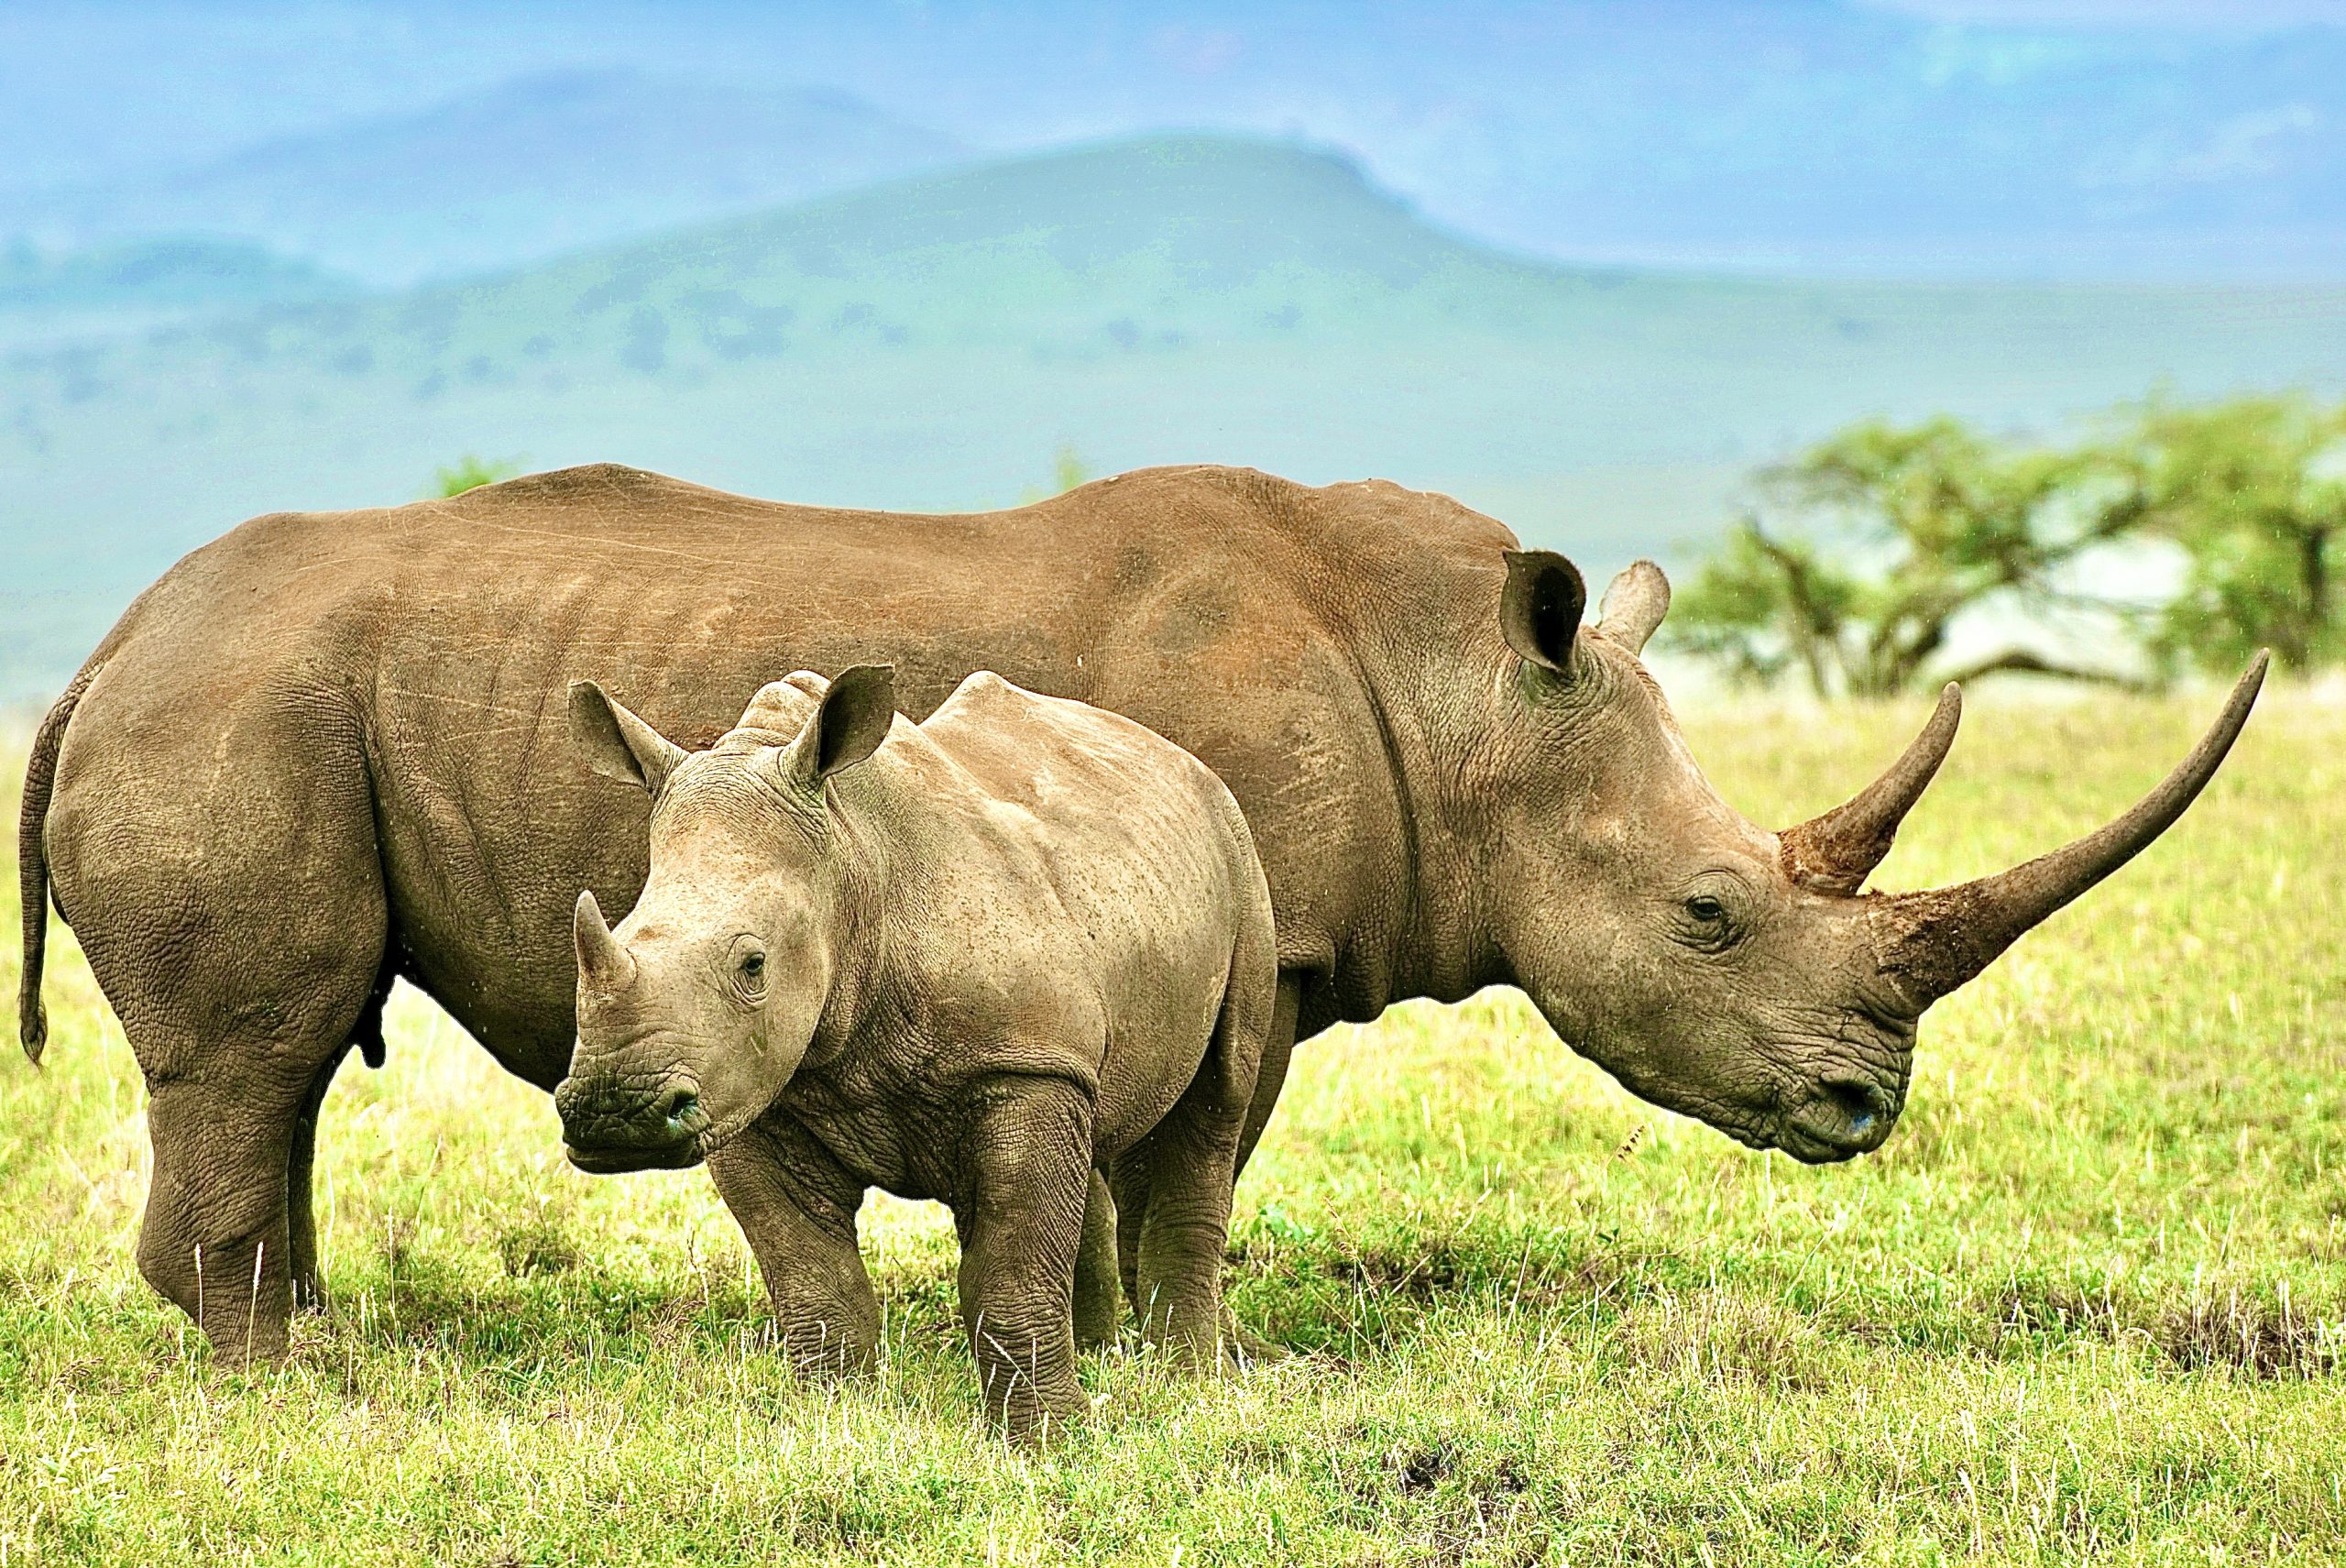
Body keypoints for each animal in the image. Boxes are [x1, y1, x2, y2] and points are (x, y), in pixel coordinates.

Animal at [555, 666, 1276, 1436]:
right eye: (620, 931)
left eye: (752, 965)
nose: (614, 1111)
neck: (852, 868)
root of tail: (1173, 755)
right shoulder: (751, 1089)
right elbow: (812, 1279)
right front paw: (832, 1423)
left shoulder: (1023, 1062)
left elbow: (1011, 1269)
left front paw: (1052, 1440)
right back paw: (1108, 1359)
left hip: (1239, 855)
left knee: (1215, 1100)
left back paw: (1192, 1383)